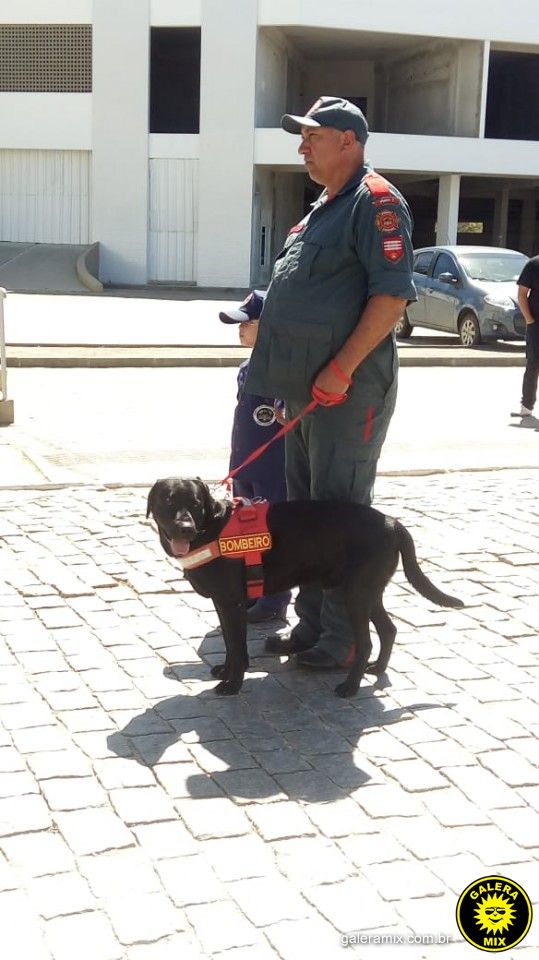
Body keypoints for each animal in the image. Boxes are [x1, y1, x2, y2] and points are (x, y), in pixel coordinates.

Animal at [146, 477, 464, 698]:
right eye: (169, 501)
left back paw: (350, 686)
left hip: (356, 595)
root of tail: (391, 522)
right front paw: (226, 670)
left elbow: (236, 647)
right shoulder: (224, 604)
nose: (185, 527)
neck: (211, 529)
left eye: (195, 503)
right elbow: (230, 643)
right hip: (369, 593)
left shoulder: (232, 603)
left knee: (366, 642)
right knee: (389, 629)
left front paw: (232, 683)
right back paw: (377, 669)